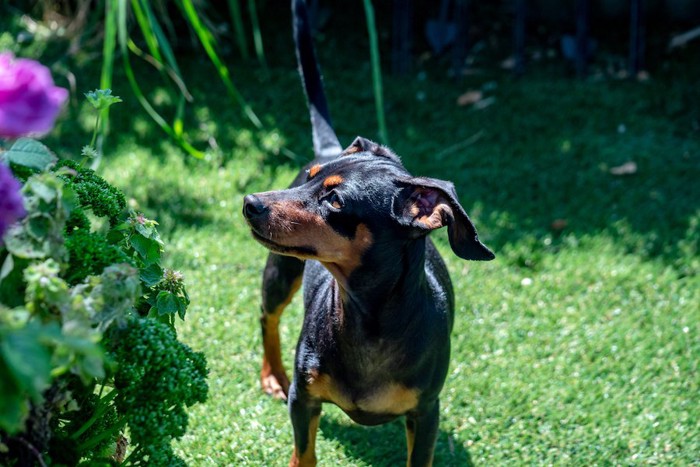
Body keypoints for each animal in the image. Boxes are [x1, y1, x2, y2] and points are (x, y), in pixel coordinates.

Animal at [243, 1, 494, 466]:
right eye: (311, 179)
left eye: (335, 201)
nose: (250, 203)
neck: (368, 321)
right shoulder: (303, 401)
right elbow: (304, 453)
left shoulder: (426, 413)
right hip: (281, 272)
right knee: (267, 315)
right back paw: (272, 374)